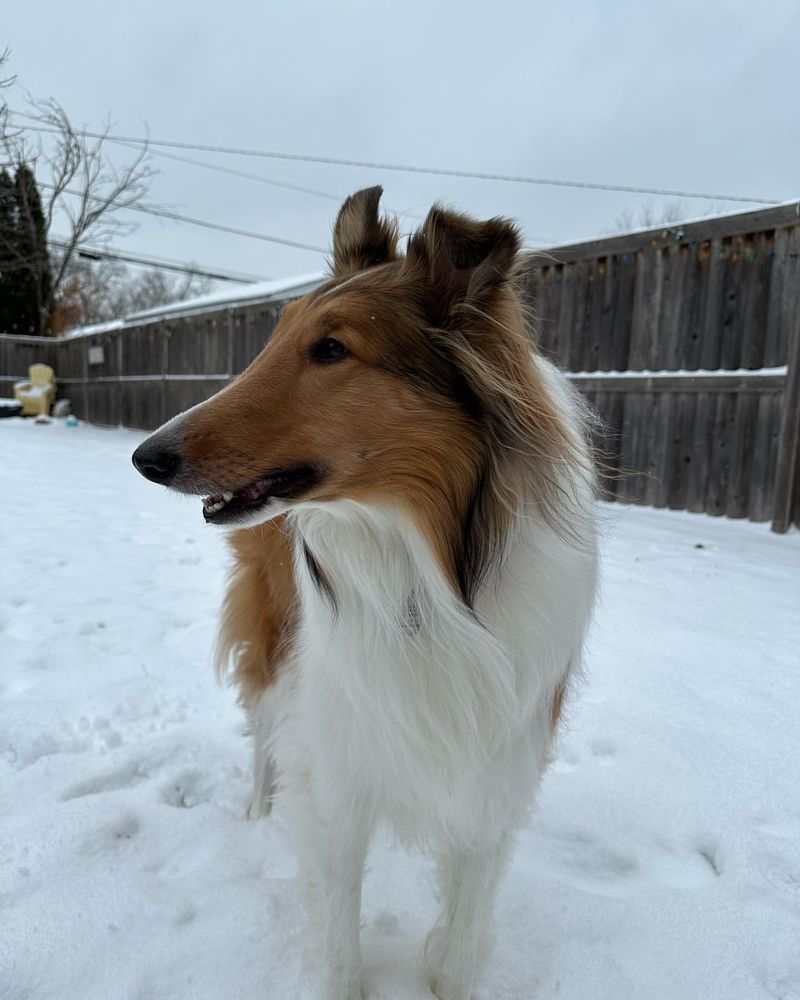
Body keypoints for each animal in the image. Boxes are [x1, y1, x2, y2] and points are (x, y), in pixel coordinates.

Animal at [133, 189, 592, 1000]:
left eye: (332, 349)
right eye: (278, 335)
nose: (145, 457)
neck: (431, 570)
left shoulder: (494, 769)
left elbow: (458, 947)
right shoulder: (336, 761)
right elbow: (340, 943)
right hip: (273, 639)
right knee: (263, 730)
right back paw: (257, 808)